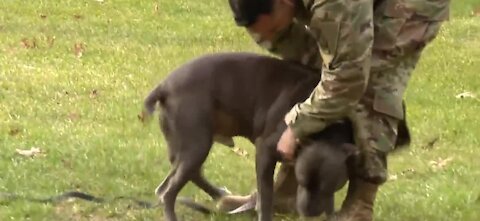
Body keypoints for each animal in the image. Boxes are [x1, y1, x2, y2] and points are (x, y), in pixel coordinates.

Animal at [142, 52, 408, 221]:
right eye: (302, 181)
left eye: (328, 185)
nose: (309, 213)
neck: (325, 130)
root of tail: (164, 86)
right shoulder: (265, 152)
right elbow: (266, 198)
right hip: (196, 143)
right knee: (170, 191)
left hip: (187, 145)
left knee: (172, 182)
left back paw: (218, 194)